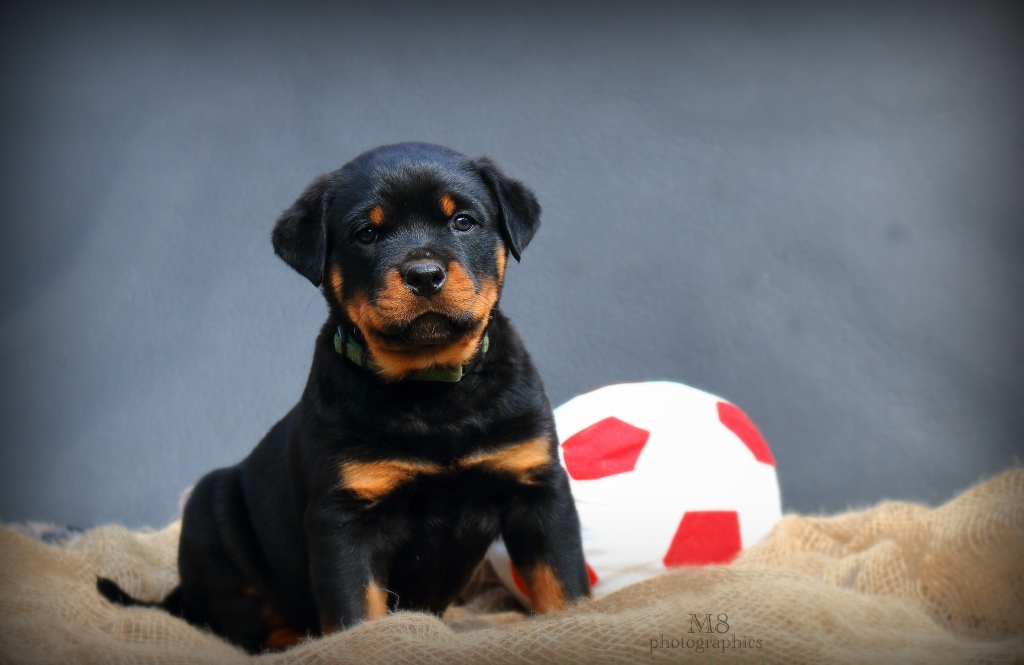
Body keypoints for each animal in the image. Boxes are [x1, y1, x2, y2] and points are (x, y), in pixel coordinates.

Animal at [97, 142, 590, 653]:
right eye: (366, 234)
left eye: (463, 221)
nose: (424, 275)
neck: (430, 389)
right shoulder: (344, 518)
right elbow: (355, 610)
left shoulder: (538, 491)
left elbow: (560, 583)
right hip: (207, 520)